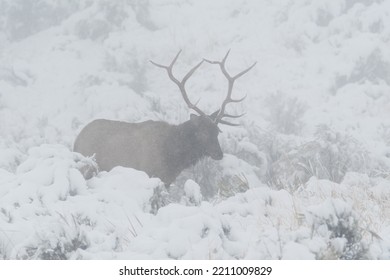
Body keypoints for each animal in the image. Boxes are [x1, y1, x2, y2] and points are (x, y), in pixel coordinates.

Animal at [73, 50, 256, 186]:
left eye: (217, 131)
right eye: (203, 132)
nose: (219, 154)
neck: (174, 155)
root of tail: (76, 140)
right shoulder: (152, 173)